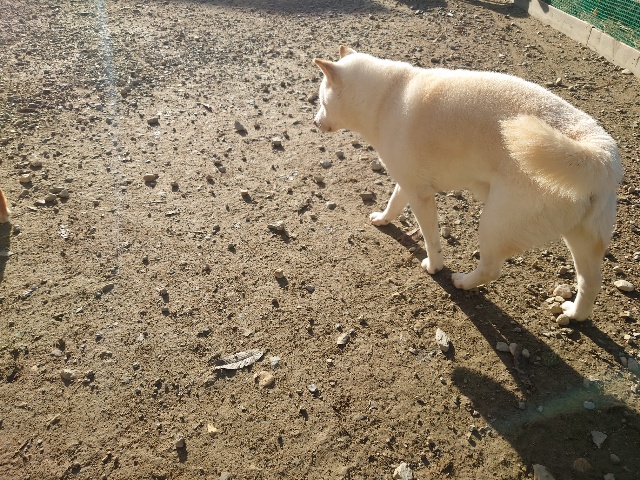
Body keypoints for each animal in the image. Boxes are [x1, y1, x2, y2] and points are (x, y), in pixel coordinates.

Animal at [313, 46, 621, 321]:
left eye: (321, 101)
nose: (314, 122)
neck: (386, 98)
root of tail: (597, 152)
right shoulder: (407, 183)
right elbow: (393, 203)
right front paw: (383, 219)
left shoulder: (421, 194)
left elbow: (431, 239)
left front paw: (434, 266)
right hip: (581, 238)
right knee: (591, 282)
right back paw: (576, 314)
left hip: (495, 223)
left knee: (491, 270)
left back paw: (462, 281)